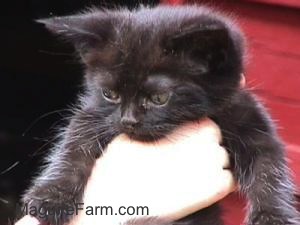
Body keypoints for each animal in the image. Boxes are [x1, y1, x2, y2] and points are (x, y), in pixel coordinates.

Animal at [22, 4, 298, 225]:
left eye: (159, 98)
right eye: (110, 94)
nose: (128, 120)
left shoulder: (247, 117)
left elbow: (268, 167)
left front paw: (274, 216)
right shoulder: (93, 114)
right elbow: (73, 145)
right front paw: (52, 196)